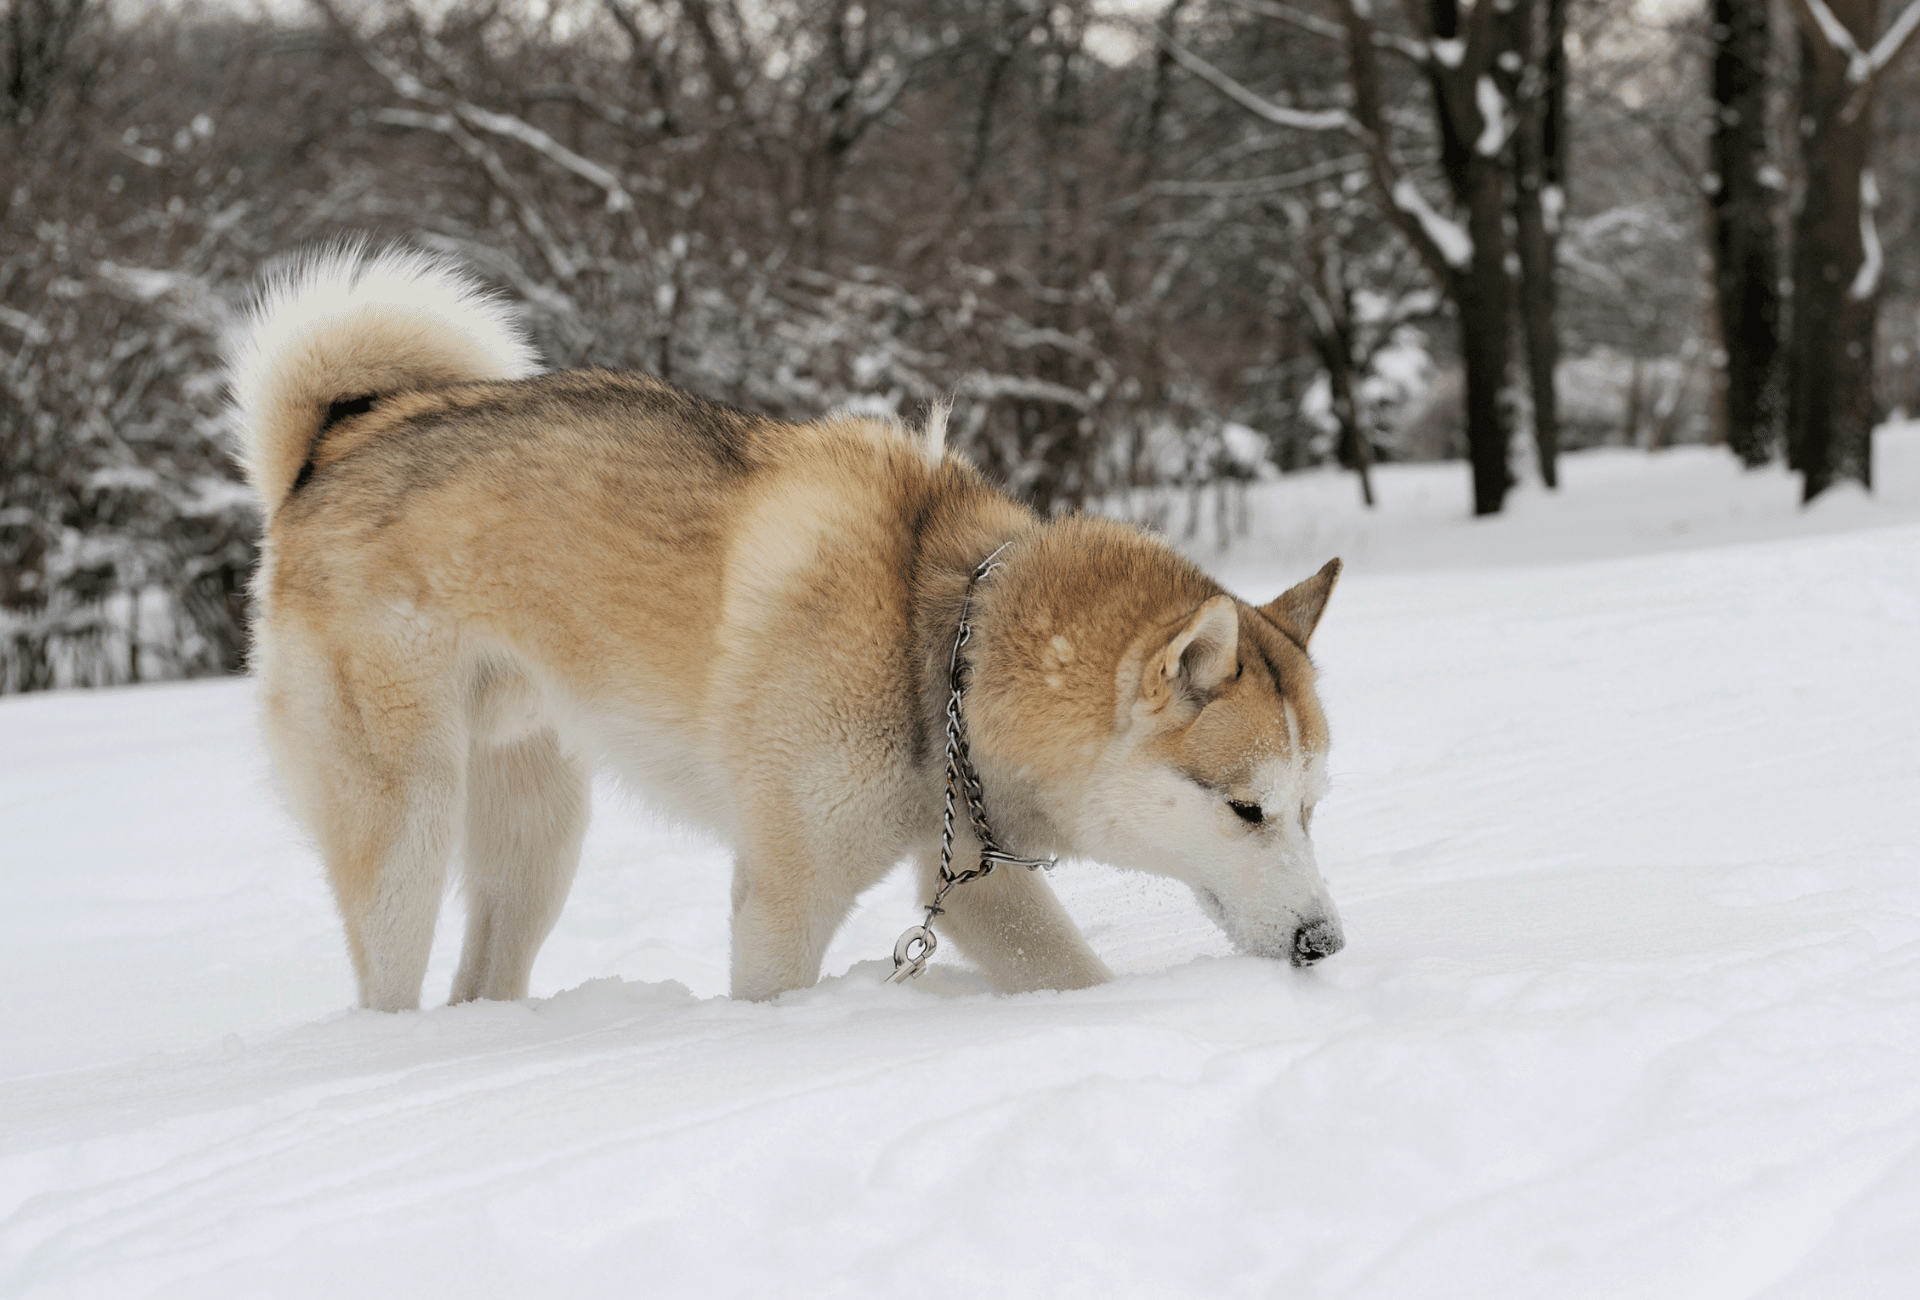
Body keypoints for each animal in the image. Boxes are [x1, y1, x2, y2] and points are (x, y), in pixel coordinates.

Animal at [232, 247, 1344, 1006]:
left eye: (1311, 808)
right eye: (1247, 808)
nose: (1323, 944)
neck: (944, 647)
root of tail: (332, 452)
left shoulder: (973, 884)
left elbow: (1069, 972)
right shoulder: (785, 894)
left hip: (539, 834)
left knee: (483, 977)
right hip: (410, 827)